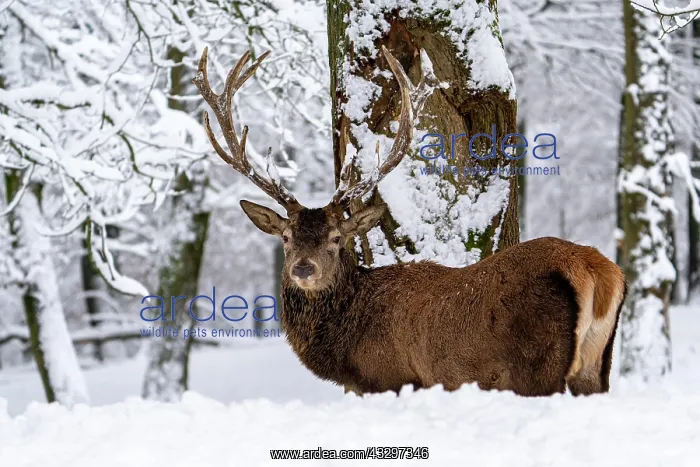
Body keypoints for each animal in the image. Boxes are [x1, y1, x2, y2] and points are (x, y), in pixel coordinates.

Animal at [192, 45, 627, 397]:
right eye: (285, 236)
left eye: (336, 237)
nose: (303, 268)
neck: (346, 345)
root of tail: (597, 270)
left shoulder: (391, 378)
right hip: (595, 368)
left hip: (537, 365)